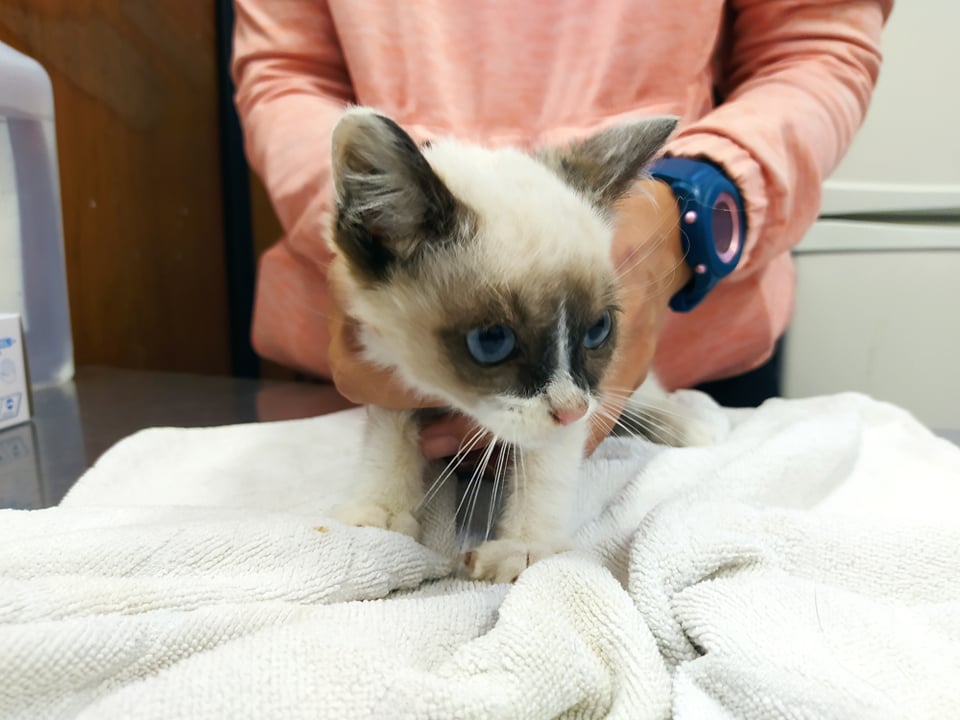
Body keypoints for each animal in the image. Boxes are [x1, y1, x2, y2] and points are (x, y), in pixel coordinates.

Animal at [327, 107, 695, 583]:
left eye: (597, 330)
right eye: (492, 341)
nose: (572, 410)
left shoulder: (572, 407)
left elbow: (542, 467)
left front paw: (523, 548)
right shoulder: (385, 368)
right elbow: (390, 436)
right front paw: (379, 513)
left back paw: (691, 427)